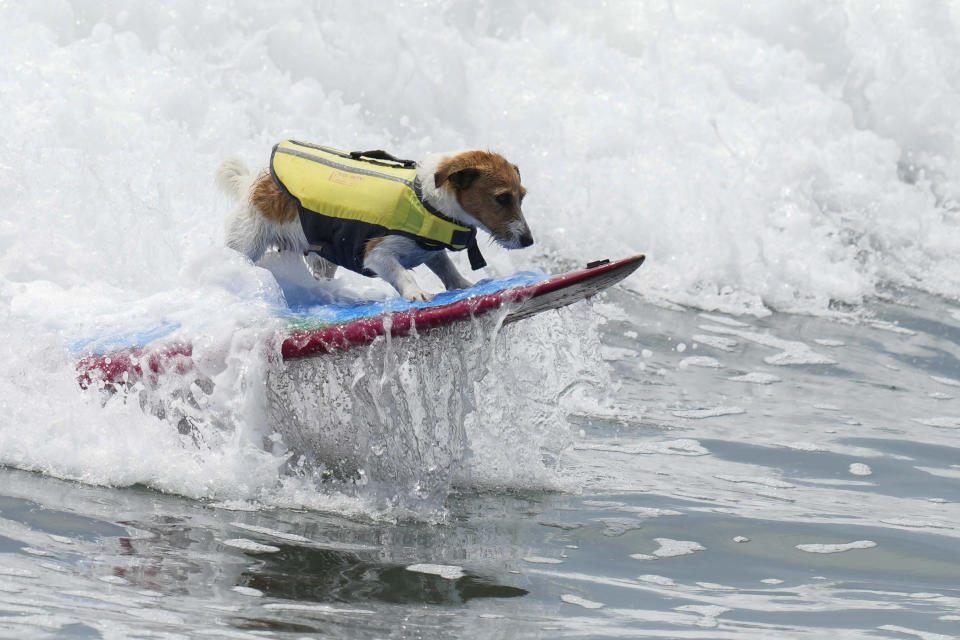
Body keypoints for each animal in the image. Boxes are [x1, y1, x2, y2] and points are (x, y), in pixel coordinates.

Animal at [215, 141, 536, 302]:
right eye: (502, 198)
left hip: (321, 260)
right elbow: (403, 273)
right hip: (247, 242)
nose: (529, 240)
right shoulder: (377, 254)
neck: (426, 200)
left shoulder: (431, 251)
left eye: (522, 196)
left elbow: (445, 267)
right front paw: (416, 292)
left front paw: (462, 284)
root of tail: (254, 182)